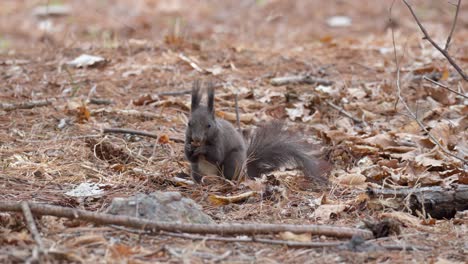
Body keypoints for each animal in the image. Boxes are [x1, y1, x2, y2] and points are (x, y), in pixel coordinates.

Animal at [184, 81, 330, 186]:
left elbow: (216, 156)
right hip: (197, 170)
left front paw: (202, 149)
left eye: (209, 125)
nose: (196, 138)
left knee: (229, 175)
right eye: (189, 123)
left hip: (233, 162)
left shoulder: (220, 140)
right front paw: (189, 148)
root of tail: (245, 171)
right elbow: (190, 157)